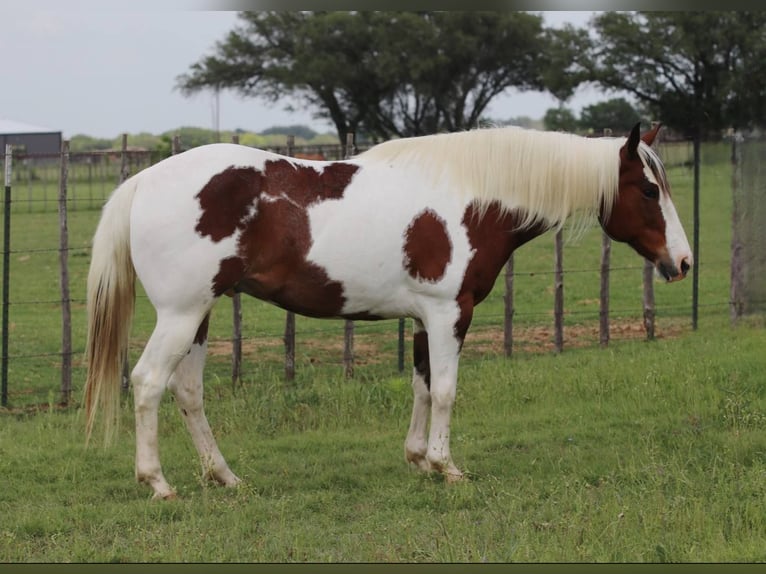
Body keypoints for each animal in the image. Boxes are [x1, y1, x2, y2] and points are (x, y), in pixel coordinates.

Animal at [84, 123, 692, 499]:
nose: (683, 262)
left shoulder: (426, 318)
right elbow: (445, 390)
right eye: (647, 190)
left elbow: (422, 386)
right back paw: (158, 483)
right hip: (181, 314)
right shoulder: (450, 313)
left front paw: (420, 459)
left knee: (187, 392)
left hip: (201, 314)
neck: (474, 196)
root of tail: (142, 181)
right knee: (148, 382)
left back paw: (225, 477)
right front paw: (448, 467)